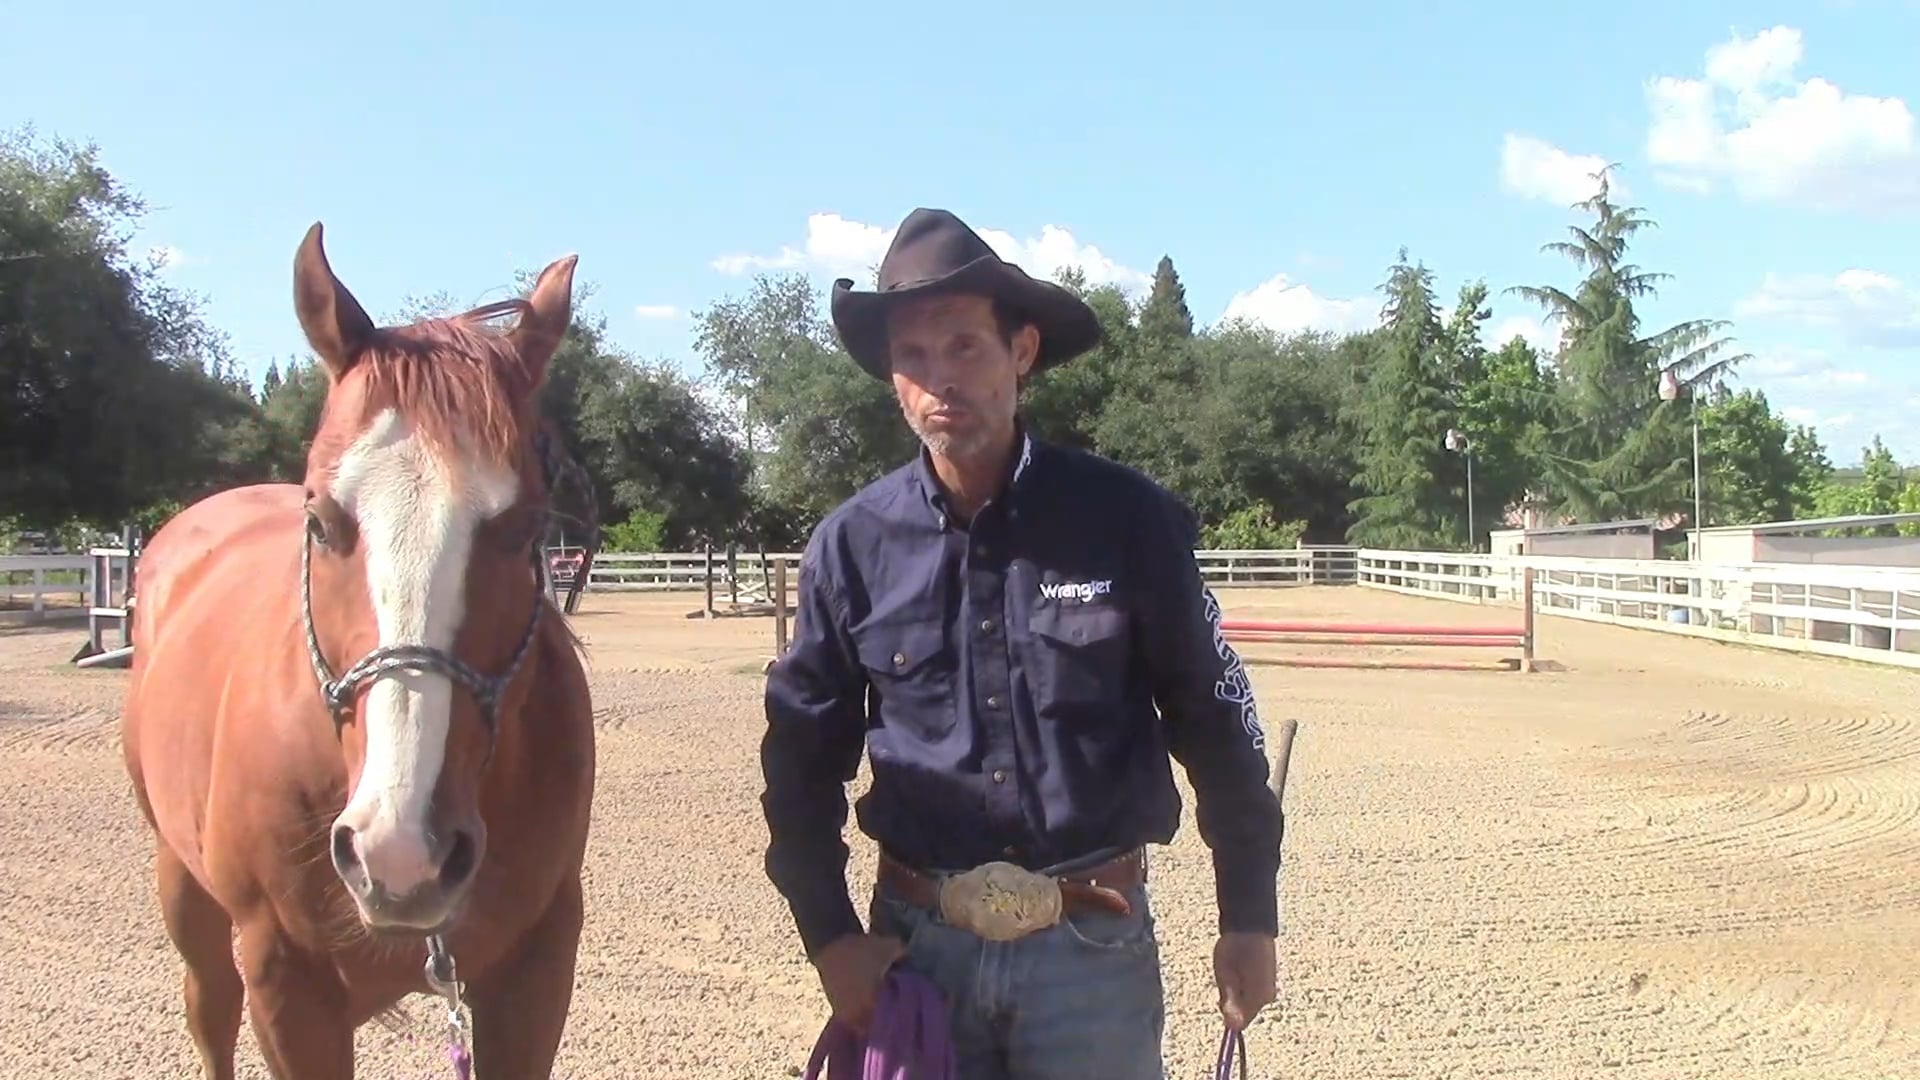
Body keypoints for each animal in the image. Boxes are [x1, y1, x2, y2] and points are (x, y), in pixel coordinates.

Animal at [120, 223, 598, 1079]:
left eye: (526, 528)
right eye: (320, 519)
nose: (400, 850)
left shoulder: (538, 967)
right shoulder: (285, 978)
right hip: (183, 886)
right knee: (209, 1009)